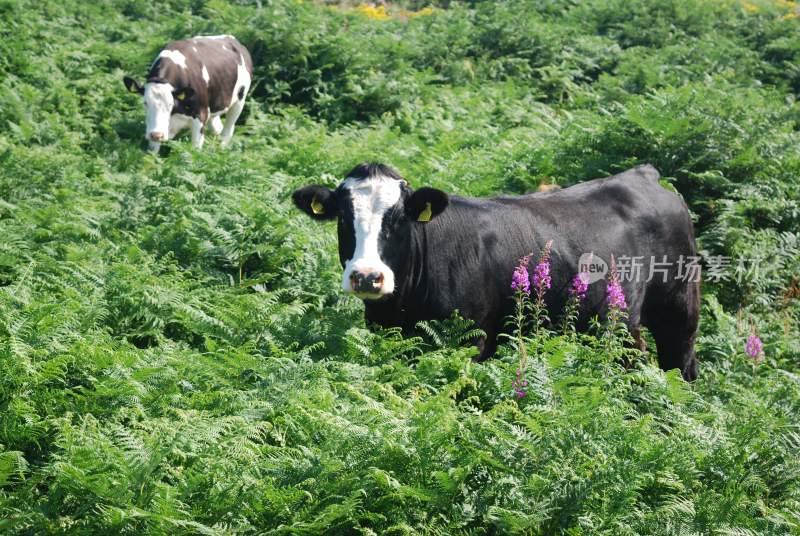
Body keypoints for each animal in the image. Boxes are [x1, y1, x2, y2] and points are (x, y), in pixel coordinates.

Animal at [123, 35, 253, 153]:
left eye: (170, 104)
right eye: (145, 103)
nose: (156, 135)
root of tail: (234, 40)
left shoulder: (201, 115)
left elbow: (195, 150)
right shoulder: (157, 128)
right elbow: (152, 153)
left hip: (239, 101)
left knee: (228, 130)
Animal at [294, 163, 700, 382]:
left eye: (398, 219)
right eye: (343, 218)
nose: (367, 275)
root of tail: (642, 175)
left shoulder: (469, 339)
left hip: (679, 307)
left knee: (681, 365)